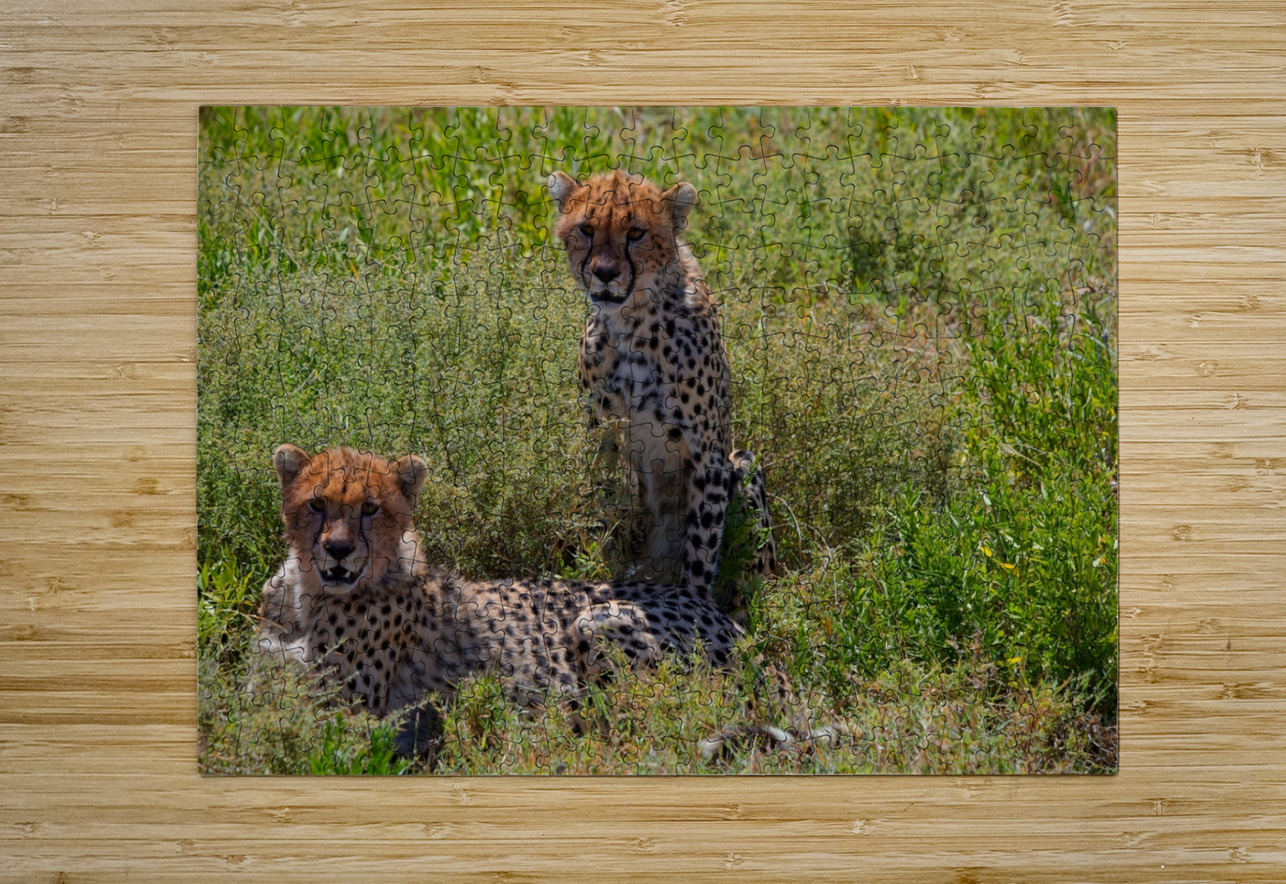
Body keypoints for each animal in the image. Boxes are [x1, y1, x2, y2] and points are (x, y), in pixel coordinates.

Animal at [256, 444, 744, 750]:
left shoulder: (351, 712)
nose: (338, 549)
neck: (306, 593)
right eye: (318, 504)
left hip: (596, 621)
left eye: (371, 509)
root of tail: (695, 593)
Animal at [547, 169, 777, 615]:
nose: (604, 272)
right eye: (586, 229)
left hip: (742, 464)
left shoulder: (709, 457)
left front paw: (695, 607)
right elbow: (604, 517)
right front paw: (603, 577)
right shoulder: (602, 437)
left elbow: (702, 548)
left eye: (636, 232)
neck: (634, 322)